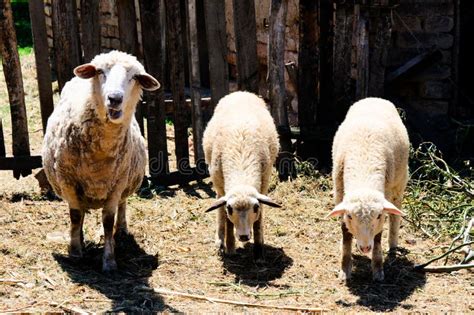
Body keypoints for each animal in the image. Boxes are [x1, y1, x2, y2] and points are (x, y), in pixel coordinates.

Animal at [41, 50, 159, 272]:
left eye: (134, 77)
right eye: (100, 72)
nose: (114, 98)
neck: (99, 159)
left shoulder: (117, 185)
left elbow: (108, 222)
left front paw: (109, 260)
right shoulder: (68, 181)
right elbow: (75, 216)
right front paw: (75, 252)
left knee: (122, 205)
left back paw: (121, 230)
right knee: (79, 213)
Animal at [204, 90, 282, 260]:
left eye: (255, 207)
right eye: (230, 208)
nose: (244, 237)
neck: (241, 172)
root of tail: (240, 92)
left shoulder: (263, 184)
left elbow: (259, 220)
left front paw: (259, 251)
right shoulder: (223, 188)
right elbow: (226, 218)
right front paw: (230, 247)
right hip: (218, 182)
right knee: (218, 207)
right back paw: (220, 241)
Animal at [328, 97, 410, 282]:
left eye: (378, 216)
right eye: (350, 216)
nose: (365, 248)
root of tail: (374, 98)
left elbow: (378, 236)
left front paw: (378, 270)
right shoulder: (339, 194)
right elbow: (345, 233)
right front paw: (345, 269)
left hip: (399, 183)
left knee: (395, 216)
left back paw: (393, 246)